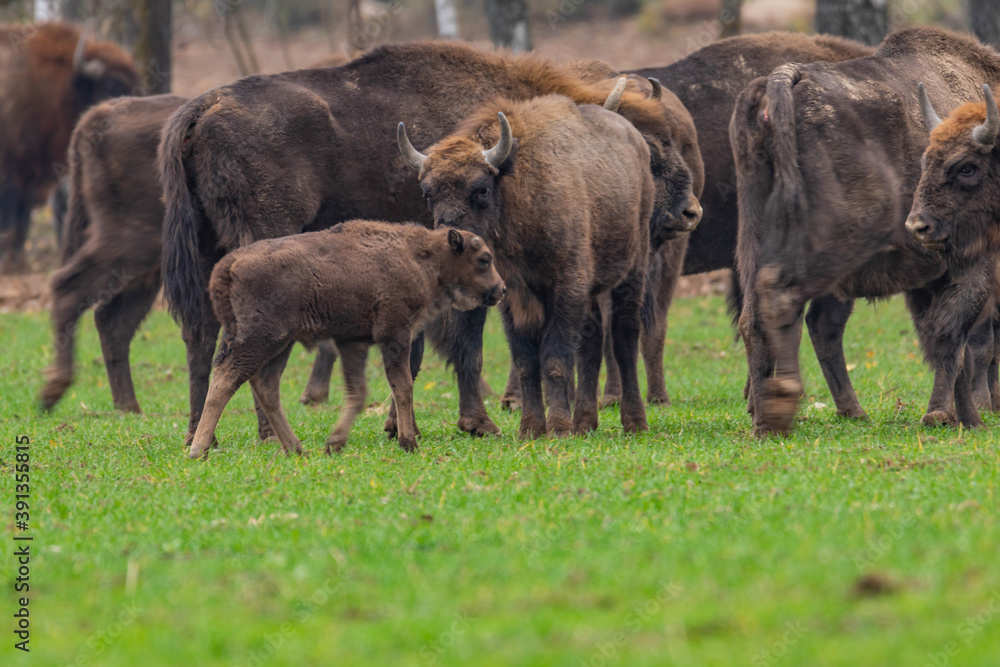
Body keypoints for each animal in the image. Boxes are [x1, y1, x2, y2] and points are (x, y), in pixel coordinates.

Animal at [0, 21, 139, 274]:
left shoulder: (28, 180)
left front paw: (19, 264)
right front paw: (8, 266)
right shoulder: (9, 177)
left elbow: (21, 224)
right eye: (111, 85)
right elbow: (10, 223)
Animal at [188, 222, 504, 462]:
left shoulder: (354, 342)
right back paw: (198, 449)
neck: (420, 257)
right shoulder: (394, 335)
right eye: (484, 259)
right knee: (226, 379)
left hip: (280, 344)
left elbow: (358, 392)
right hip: (260, 339)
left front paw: (335, 442)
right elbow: (402, 386)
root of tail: (229, 264)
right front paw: (408, 442)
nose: (501, 289)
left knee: (265, 385)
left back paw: (295, 448)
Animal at [398, 92, 656, 438]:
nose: (452, 239)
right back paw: (585, 423)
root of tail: (637, 142)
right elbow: (526, 362)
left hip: (633, 269)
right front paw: (531, 429)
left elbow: (555, 359)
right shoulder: (514, 297)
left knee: (624, 337)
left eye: (480, 189)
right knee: (592, 340)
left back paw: (634, 422)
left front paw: (558, 428)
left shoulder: (566, 289)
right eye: (428, 193)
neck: (521, 191)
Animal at [732, 26, 1000, 436]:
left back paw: (797, 416)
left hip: (757, 236)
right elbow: (957, 341)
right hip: (837, 246)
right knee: (784, 301)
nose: (917, 223)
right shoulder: (973, 267)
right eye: (964, 168)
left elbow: (946, 342)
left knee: (766, 319)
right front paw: (951, 416)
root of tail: (788, 78)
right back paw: (782, 410)